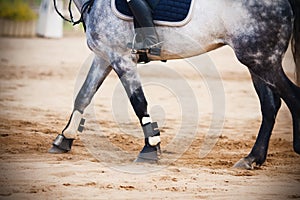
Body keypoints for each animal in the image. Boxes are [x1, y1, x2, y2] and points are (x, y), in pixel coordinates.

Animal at [49, 0, 300, 169]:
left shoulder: (121, 59)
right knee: (270, 105)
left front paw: (150, 149)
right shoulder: (104, 57)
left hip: (261, 61)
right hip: (256, 61)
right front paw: (64, 139)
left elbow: (139, 103)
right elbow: (83, 95)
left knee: (293, 98)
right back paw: (252, 159)